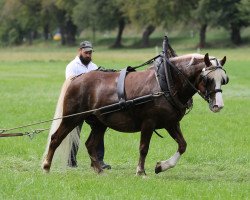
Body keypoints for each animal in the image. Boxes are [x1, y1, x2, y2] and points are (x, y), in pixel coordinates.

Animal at [42, 52, 229, 175]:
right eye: (207, 79)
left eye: (223, 80)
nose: (218, 105)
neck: (166, 83)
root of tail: (77, 78)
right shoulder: (148, 122)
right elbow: (144, 147)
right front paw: (141, 171)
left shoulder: (171, 123)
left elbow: (182, 145)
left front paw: (161, 166)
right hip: (71, 118)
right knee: (56, 138)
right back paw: (46, 166)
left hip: (99, 123)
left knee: (90, 144)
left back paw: (99, 170)